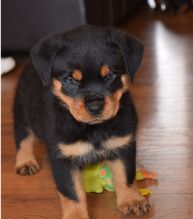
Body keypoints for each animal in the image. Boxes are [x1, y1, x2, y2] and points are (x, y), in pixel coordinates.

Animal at [13, 25, 151, 217]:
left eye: (110, 76)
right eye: (71, 80)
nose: (95, 106)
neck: (93, 129)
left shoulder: (123, 144)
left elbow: (126, 176)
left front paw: (132, 200)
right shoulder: (62, 158)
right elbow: (71, 193)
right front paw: (75, 215)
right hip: (21, 111)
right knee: (23, 138)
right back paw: (25, 161)